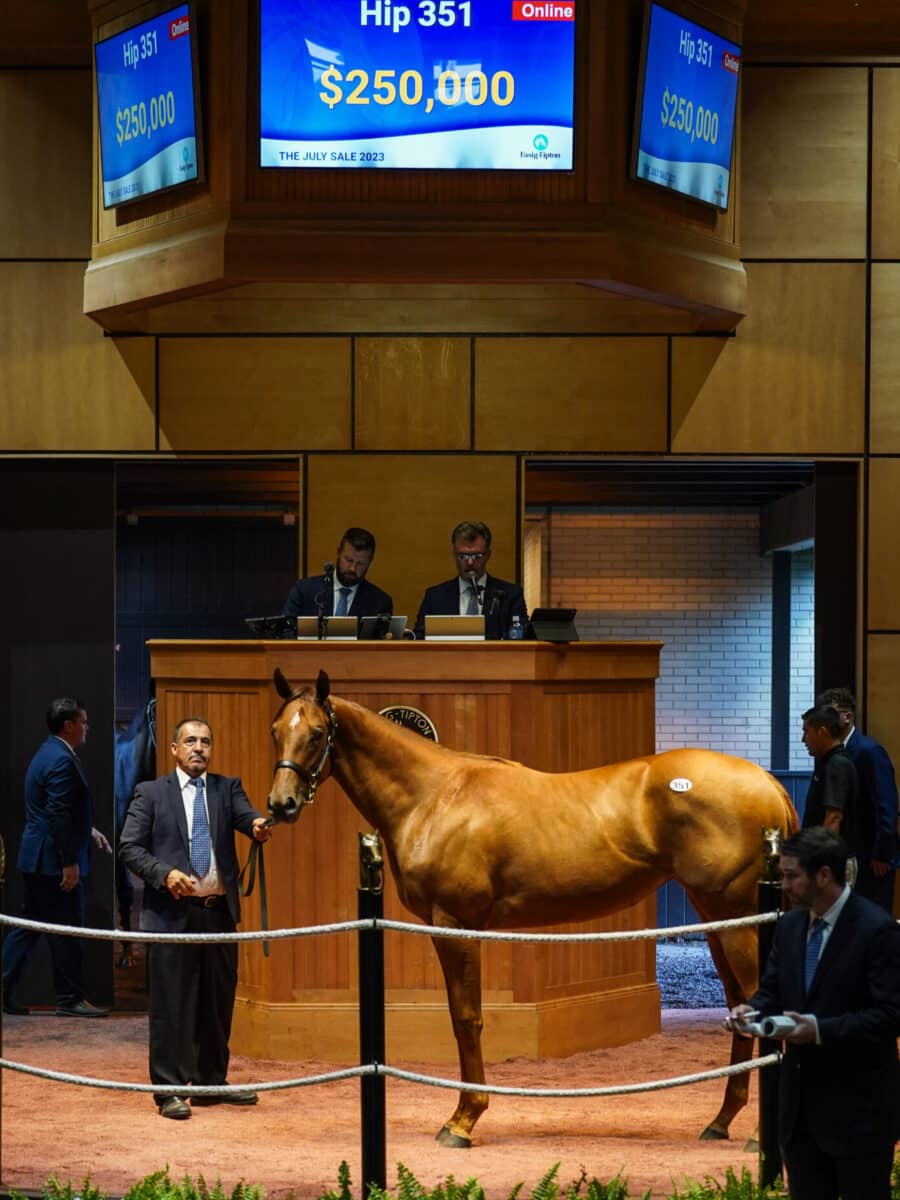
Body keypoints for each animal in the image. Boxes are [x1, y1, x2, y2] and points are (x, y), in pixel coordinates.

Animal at [266, 672, 796, 1147]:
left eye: (317, 733)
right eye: (276, 730)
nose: (281, 804)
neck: (434, 796)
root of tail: (769, 784)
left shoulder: (454, 924)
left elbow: (466, 1018)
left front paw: (463, 1119)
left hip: (735, 922)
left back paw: (758, 1135)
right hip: (719, 919)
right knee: (740, 1003)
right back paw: (721, 1121)